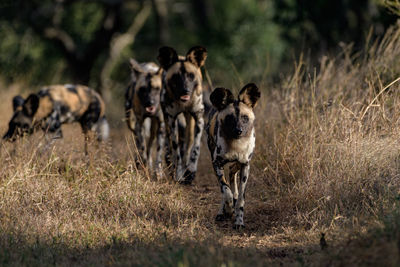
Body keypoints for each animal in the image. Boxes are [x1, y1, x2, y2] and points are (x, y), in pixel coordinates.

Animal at [156, 45, 206, 184]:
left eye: (191, 75)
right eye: (176, 77)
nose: (185, 90)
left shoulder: (199, 118)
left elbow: (195, 148)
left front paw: (190, 172)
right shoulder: (172, 120)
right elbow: (176, 150)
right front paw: (177, 173)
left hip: (189, 122)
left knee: (188, 145)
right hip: (167, 121)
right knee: (169, 145)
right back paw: (171, 165)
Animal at [208, 84, 260, 230]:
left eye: (245, 117)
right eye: (229, 118)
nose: (238, 131)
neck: (236, 145)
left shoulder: (245, 164)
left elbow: (241, 198)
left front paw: (239, 220)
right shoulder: (216, 163)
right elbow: (226, 191)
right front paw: (229, 208)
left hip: (239, 164)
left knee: (232, 172)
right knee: (224, 186)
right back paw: (222, 211)